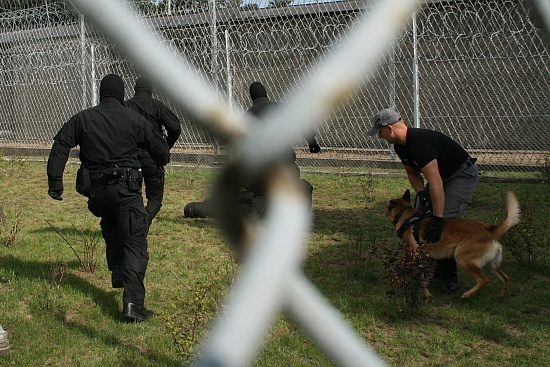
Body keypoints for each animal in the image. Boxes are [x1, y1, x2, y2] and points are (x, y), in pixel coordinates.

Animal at [388, 191, 520, 300]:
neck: (406, 215)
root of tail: (490, 230)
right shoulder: (431, 259)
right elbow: (427, 277)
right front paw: (425, 289)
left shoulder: (415, 257)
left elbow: (419, 278)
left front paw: (426, 294)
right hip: (492, 266)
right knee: (505, 277)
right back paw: (502, 296)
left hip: (462, 259)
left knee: (484, 280)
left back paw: (467, 294)